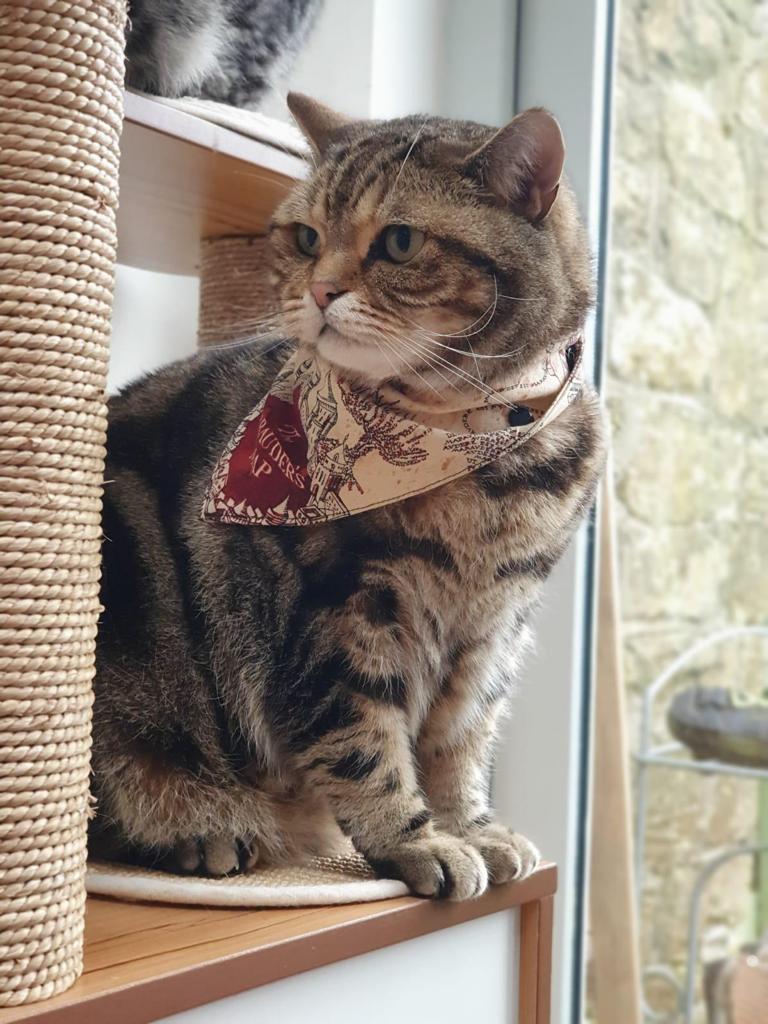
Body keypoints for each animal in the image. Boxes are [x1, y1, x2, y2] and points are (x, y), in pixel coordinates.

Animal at [90, 93, 605, 900]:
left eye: (399, 241)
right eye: (305, 238)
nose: (319, 291)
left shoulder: (492, 635)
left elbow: (459, 744)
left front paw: (471, 828)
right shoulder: (339, 617)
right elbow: (364, 744)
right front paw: (416, 841)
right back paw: (202, 824)